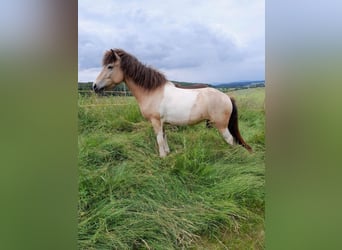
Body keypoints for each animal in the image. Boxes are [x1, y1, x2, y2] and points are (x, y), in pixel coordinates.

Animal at [93, 49, 251, 157]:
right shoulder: (162, 123)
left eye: (110, 66)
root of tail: (227, 97)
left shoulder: (155, 121)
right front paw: (168, 153)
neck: (152, 91)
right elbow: (164, 138)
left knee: (230, 140)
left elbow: (159, 140)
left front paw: (162, 157)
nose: (94, 86)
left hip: (222, 126)